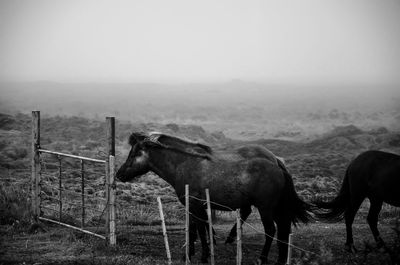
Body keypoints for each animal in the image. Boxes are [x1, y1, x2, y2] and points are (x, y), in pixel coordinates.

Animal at [114, 131, 314, 262]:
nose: (119, 174)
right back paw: (280, 258)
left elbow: (200, 230)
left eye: (134, 153)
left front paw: (203, 255)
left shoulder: (195, 205)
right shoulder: (195, 207)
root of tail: (278, 166)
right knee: (283, 230)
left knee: (271, 231)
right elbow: (195, 228)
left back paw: (262, 258)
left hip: (266, 208)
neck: (185, 164)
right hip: (277, 209)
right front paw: (191, 252)